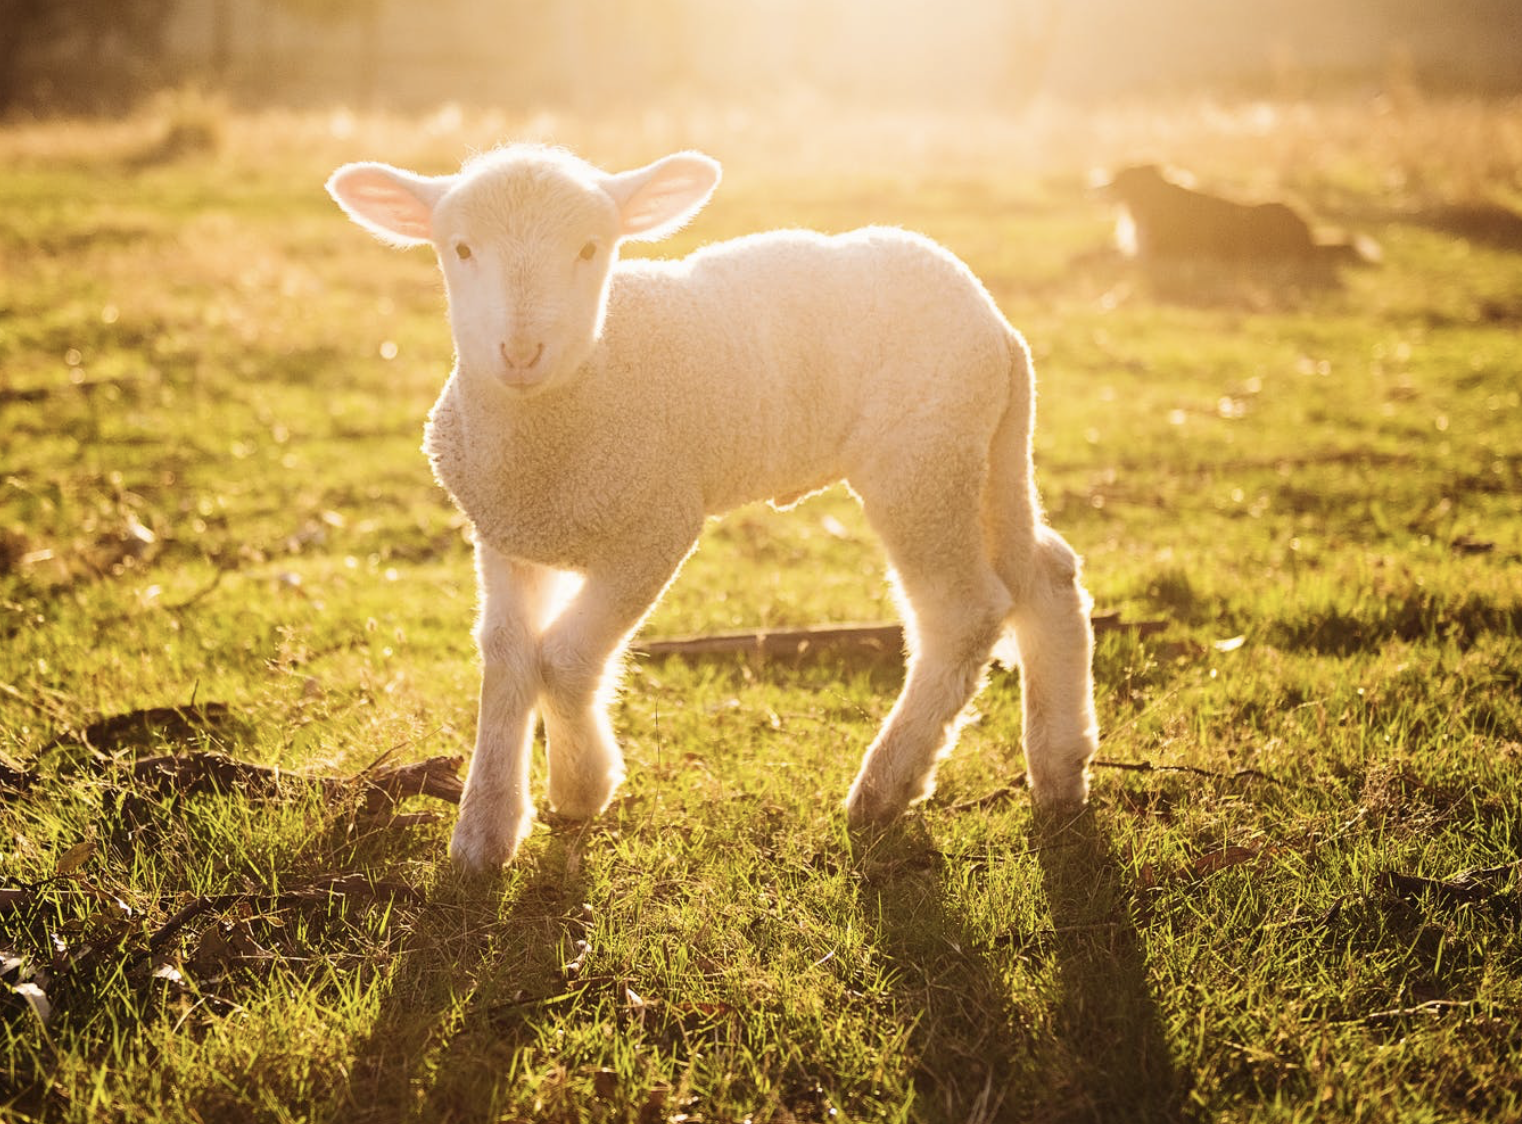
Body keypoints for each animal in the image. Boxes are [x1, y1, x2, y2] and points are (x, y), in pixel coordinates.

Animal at [325, 144, 1100, 872]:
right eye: (459, 248)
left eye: (590, 248)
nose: (520, 350)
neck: (569, 405)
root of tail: (997, 323)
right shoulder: (506, 534)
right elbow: (508, 655)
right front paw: (485, 830)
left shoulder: (657, 526)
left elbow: (566, 658)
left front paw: (581, 786)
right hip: (988, 450)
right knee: (1047, 574)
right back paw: (1061, 768)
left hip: (922, 460)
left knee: (962, 614)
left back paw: (885, 787)